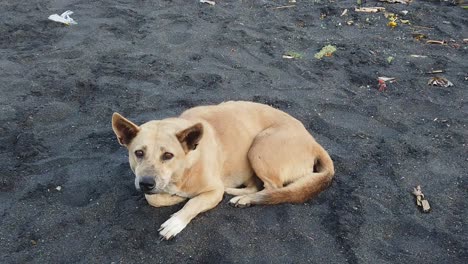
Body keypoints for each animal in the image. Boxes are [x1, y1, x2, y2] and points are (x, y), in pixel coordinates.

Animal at [111, 100, 334, 239]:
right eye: (139, 153)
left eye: (168, 155)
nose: (146, 183)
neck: (186, 165)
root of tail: (313, 142)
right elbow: (156, 199)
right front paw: (173, 196)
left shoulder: (212, 191)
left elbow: (192, 203)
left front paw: (176, 219)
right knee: (257, 186)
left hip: (260, 146)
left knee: (274, 188)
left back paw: (244, 199)